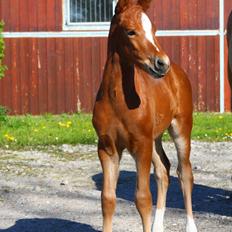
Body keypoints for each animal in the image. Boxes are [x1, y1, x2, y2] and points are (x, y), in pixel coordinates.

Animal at [92, 0, 198, 231]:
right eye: (131, 31)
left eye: (154, 30)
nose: (162, 63)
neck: (118, 99)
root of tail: (177, 72)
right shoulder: (107, 148)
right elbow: (107, 199)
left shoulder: (141, 146)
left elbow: (143, 199)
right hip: (154, 138)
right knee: (163, 170)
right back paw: (158, 226)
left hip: (181, 129)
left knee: (184, 173)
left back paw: (191, 226)